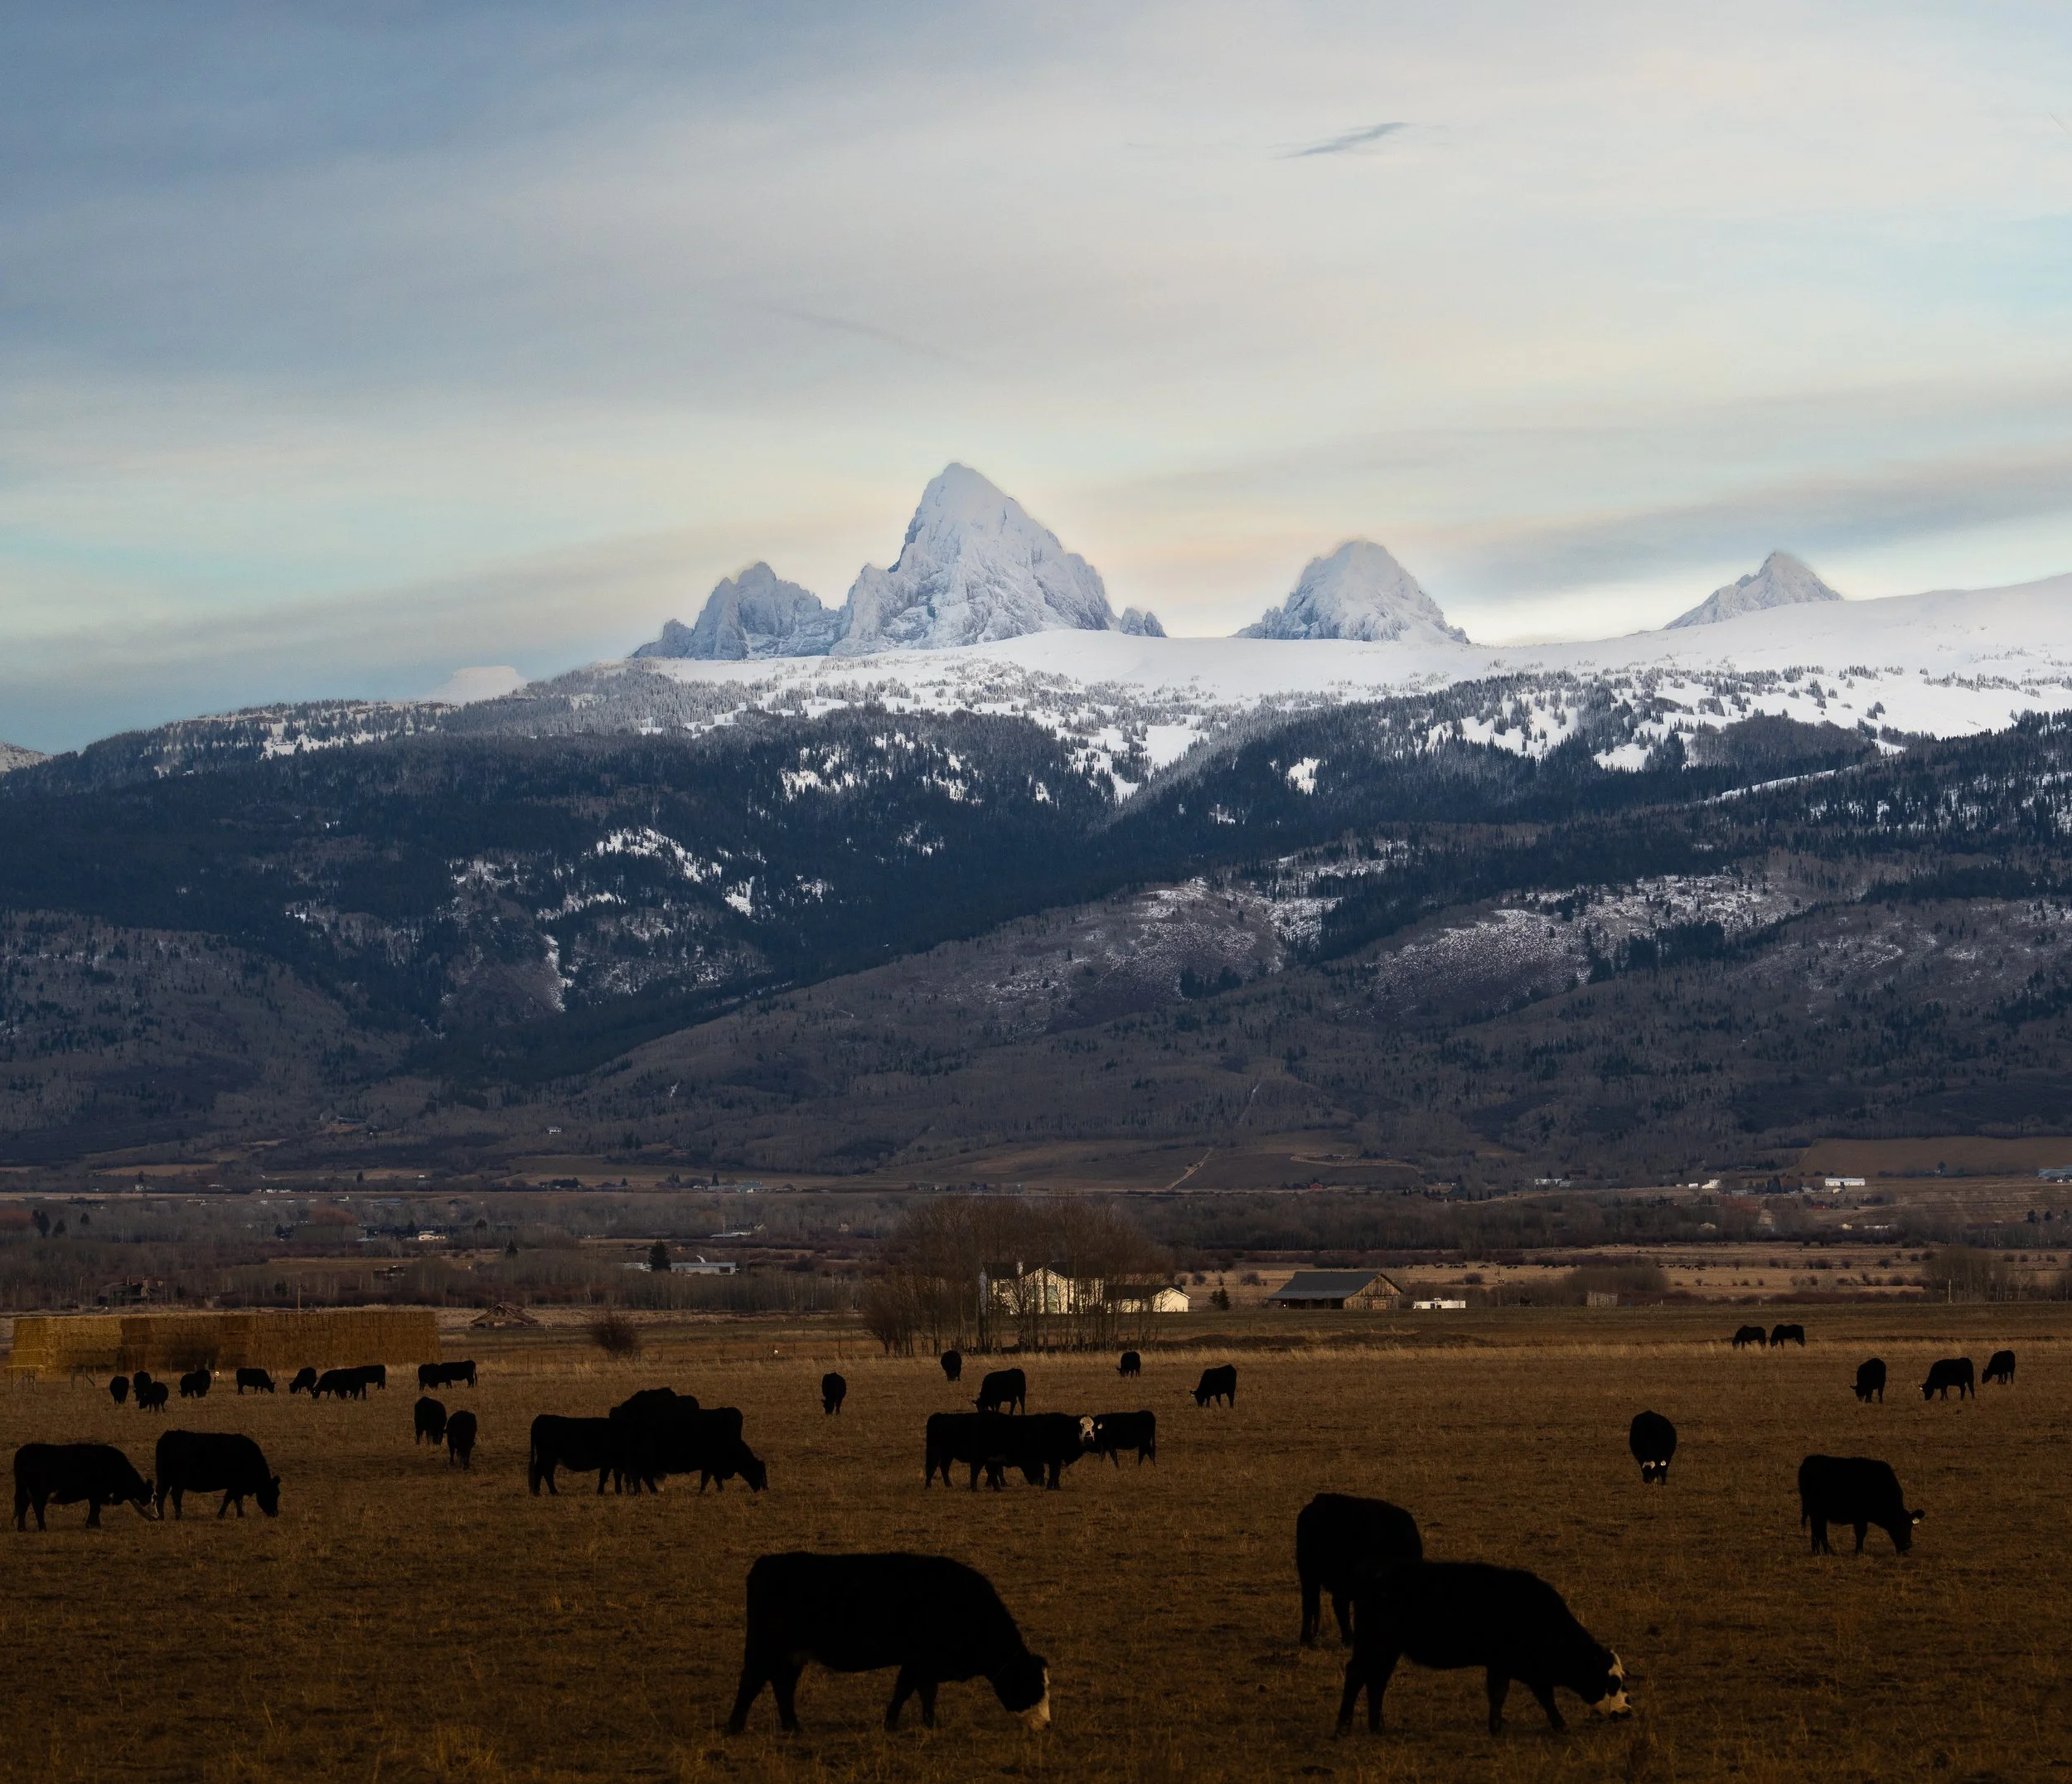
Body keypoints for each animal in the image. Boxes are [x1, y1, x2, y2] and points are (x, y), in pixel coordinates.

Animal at [13, 1443, 154, 1531]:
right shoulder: (96, 1494)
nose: (147, 1501)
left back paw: (22, 1528)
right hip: (39, 1493)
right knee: (37, 1507)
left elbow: (95, 1509)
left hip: (23, 1491)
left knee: (22, 1507)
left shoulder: (94, 1496)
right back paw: (43, 1528)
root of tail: (23, 1452)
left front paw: (96, 1525)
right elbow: (95, 1509)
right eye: (150, 1493)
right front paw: (91, 1525)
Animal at [153, 1430, 281, 1520]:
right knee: (175, 1495)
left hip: (165, 1479)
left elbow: (236, 1500)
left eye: (278, 1493)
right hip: (178, 1481)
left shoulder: (236, 1487)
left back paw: (162, 1516)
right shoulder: (235, 1486)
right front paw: (222, 1515)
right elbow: (229, 1499)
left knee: (162, 1494)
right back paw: (178, 1515)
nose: (275, 1514)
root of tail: (167, 1436)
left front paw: (240, 1514)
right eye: (271, 1493)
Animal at [726, 1552, 1050, 1734]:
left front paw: (890, 1723)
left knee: (782, 1685)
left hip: (791, 1654)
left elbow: (903, 1690)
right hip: (765, 1649)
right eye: (1034, 1686)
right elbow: (926, 1692)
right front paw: (930, 1724)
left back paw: (793, 1727)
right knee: (752, 1681)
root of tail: (766, 1562)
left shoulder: (913, 1661)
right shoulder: (926, 1660)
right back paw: (735, 1727)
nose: (1047, 1725)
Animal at [1336, 1560, 1630, 1735]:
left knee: (1376, 1682)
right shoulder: (1515, 1667)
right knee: (1357, 1675)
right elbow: (1522, 1695)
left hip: (1387, 1651)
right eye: (1612, 1682)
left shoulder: (1514, 1667)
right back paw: (1343, 1727)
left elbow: (1516, 1696)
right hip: (1375, 1645)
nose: (1627, 1712)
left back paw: (1376, 1727)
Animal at [1798, 1454, 1921, 1555]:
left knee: (1817, 1530)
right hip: (1817, 1512)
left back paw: (1818, 1551)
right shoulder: (1860, 1517)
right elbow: (1861, 1533)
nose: (1908, 1545)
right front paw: (1859, 1552)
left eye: (1911, 1525)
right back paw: (1825, 1551)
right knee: (1819, 1530)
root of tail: (1809, 1460)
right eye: (1899, 1524)